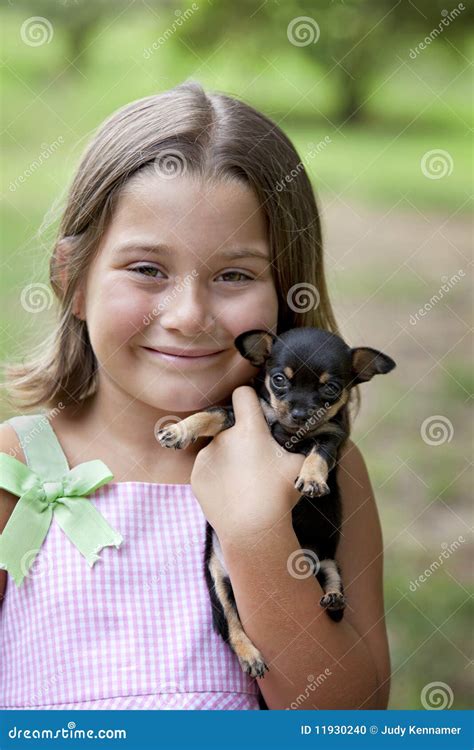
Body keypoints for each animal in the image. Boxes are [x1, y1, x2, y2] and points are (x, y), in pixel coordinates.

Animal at [156, 328, 396, 680]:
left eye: (331, 389)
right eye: (279, 380)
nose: (299, 414)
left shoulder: (330, 436)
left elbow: (317, 454)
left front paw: (312, 479)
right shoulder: (233, 414)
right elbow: (209, 413)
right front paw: (178, 430)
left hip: (327, 561)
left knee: (332, 586)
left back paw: (334, 599)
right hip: (218, 580)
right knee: (232, 626)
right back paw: (250, 656)